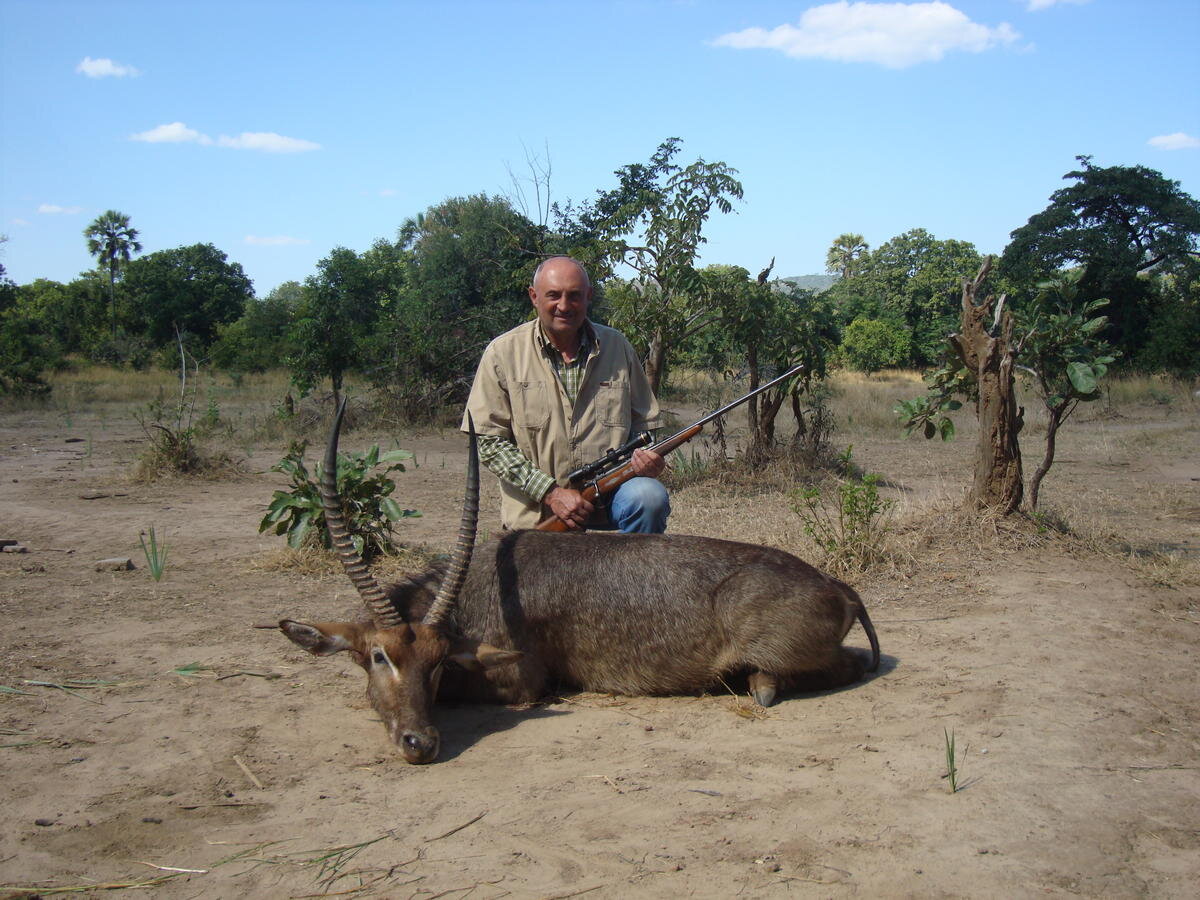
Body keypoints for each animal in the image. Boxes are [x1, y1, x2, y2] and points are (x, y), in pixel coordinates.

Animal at [278, 405, 883, 763]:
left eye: (438, 661)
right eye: (379, 656)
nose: (419, 743)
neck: (484, 583)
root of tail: (839, 586)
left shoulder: (521, 681)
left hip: (786, 649)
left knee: (844, 667)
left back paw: (759, 685)